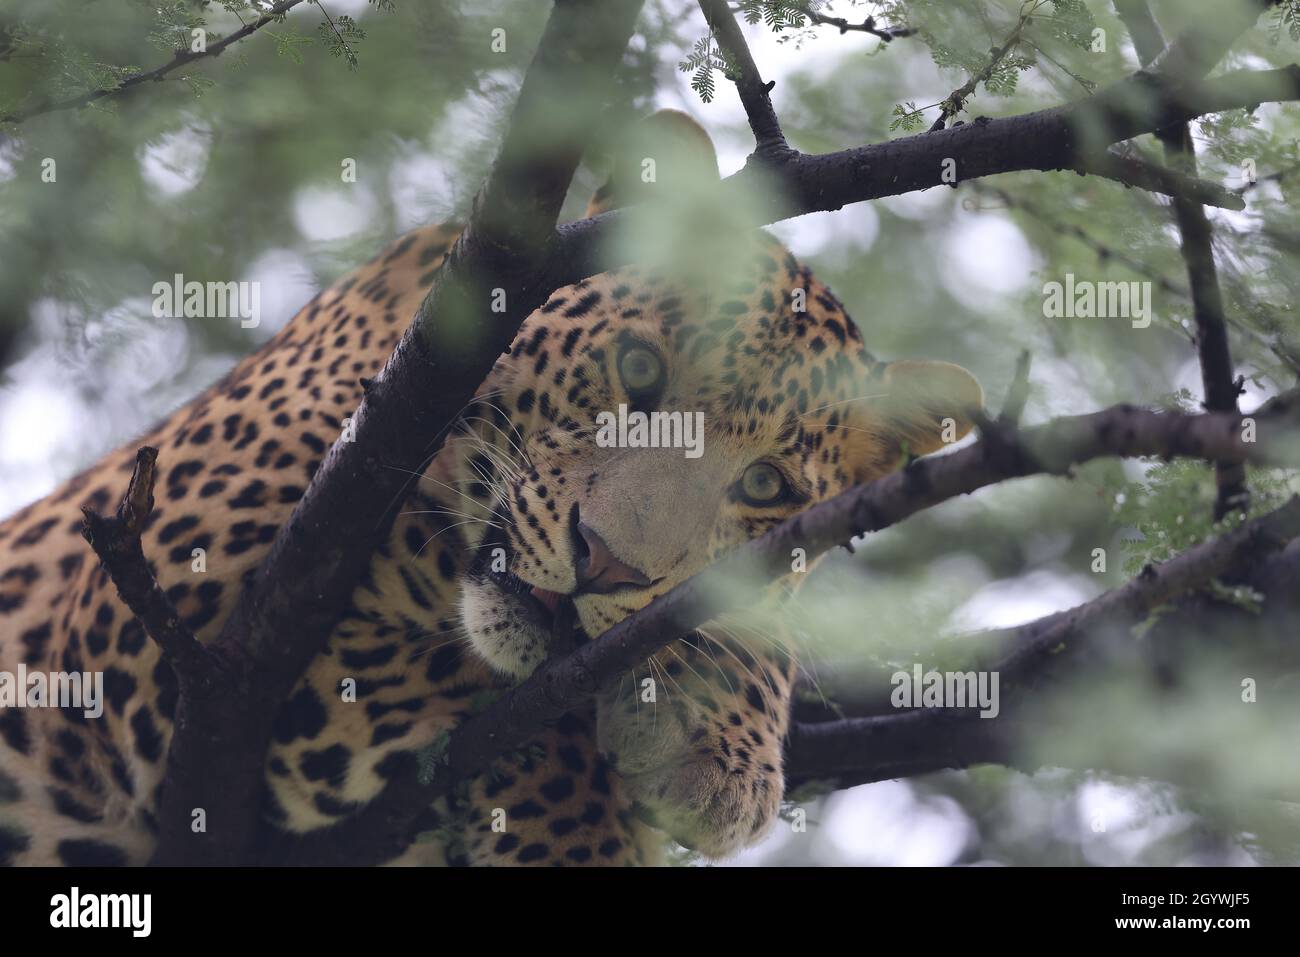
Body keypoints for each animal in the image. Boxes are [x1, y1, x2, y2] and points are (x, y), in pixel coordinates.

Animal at [0, 111, 977, 868]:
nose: (606, 562)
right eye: (638, 367)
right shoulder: (165, 622)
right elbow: (494, 697)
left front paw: (718, 741)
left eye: (766, 483)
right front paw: (581, 836)